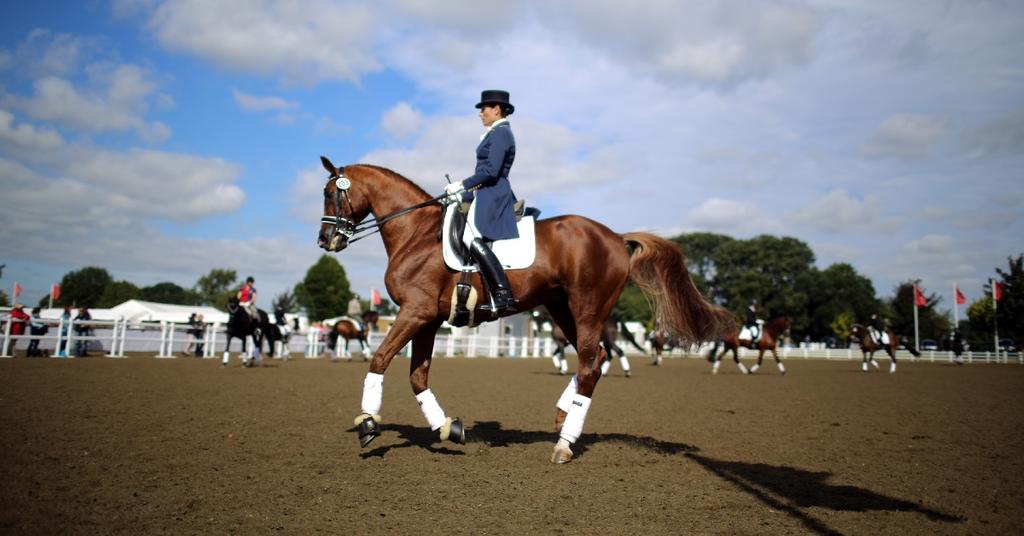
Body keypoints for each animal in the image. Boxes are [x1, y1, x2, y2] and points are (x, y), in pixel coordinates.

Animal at [316, 158, 733, 463]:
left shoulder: (414, 312)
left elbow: (379, 359)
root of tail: (616, 237)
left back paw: (565, 443)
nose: (325, 240)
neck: (416, 234)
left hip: (588, 309)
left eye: (329, 193)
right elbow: (418, 377)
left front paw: (368, 425)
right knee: (596, 360)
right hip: (562, 309)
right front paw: (447, 428)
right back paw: (563, 417)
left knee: (589, 363)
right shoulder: (428, 320)